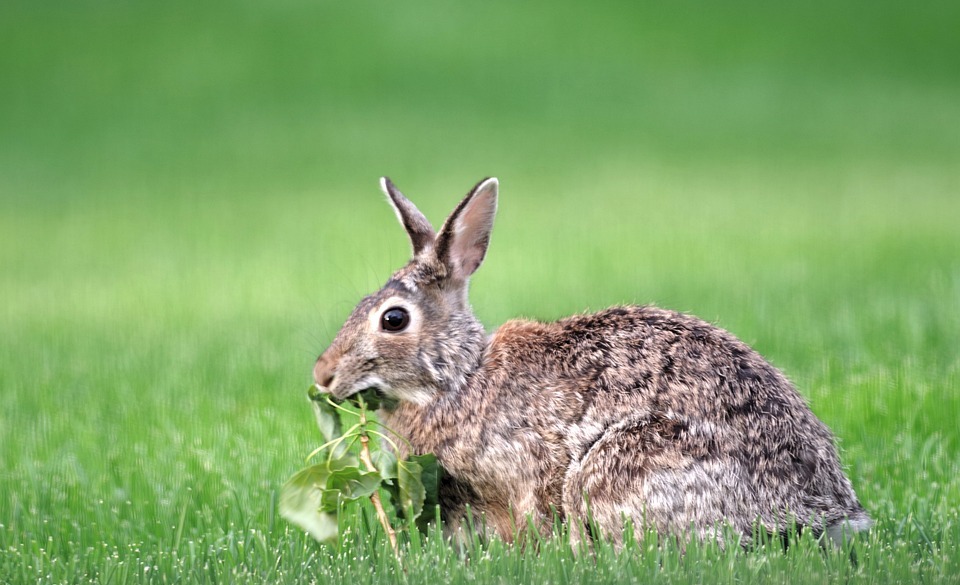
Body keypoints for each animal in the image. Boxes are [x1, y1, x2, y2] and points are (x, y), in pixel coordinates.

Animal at [312, 175, 872, 548]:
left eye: (393, 319)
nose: (322, 375)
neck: (458, 378)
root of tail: (819, 514)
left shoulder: (527, 475)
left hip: (616, 466)